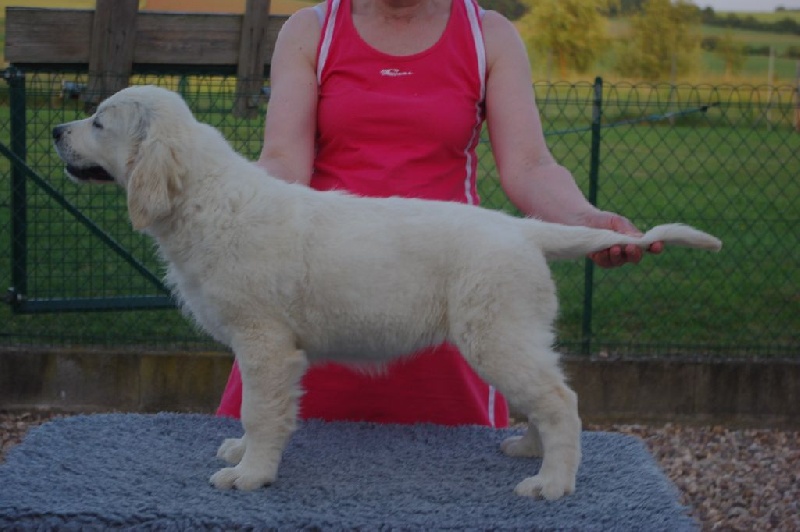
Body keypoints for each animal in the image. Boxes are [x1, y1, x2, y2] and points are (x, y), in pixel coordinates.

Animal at [53, 85, 721, 501]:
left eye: (99, 122)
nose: (57, 128)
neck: (205, 195)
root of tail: (523, 228)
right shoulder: (260, 347)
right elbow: (256, 411)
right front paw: (242, 452)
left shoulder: (266, 344)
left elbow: (262, 409)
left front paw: (251, 474)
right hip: (513, 333)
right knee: (544, 396)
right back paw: (531, 449)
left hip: (495, 334)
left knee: (561, 399)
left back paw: (553, 482)